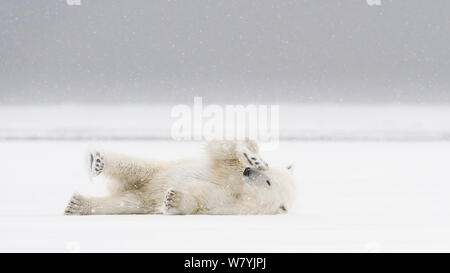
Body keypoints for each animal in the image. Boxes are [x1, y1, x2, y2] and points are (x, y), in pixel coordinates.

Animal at [63, 140, 296, 215]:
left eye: (268, 182)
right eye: (268, 174)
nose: (248, 172)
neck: (241, 188)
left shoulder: (228, 204)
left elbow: (201, 202)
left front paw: (173, 199)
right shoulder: (229, 171)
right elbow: (222, 153)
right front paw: (253, 157)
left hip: (142, 198)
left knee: (126, 203)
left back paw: (77, 204)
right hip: (158, 171)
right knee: (135, 166)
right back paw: (96, 161)